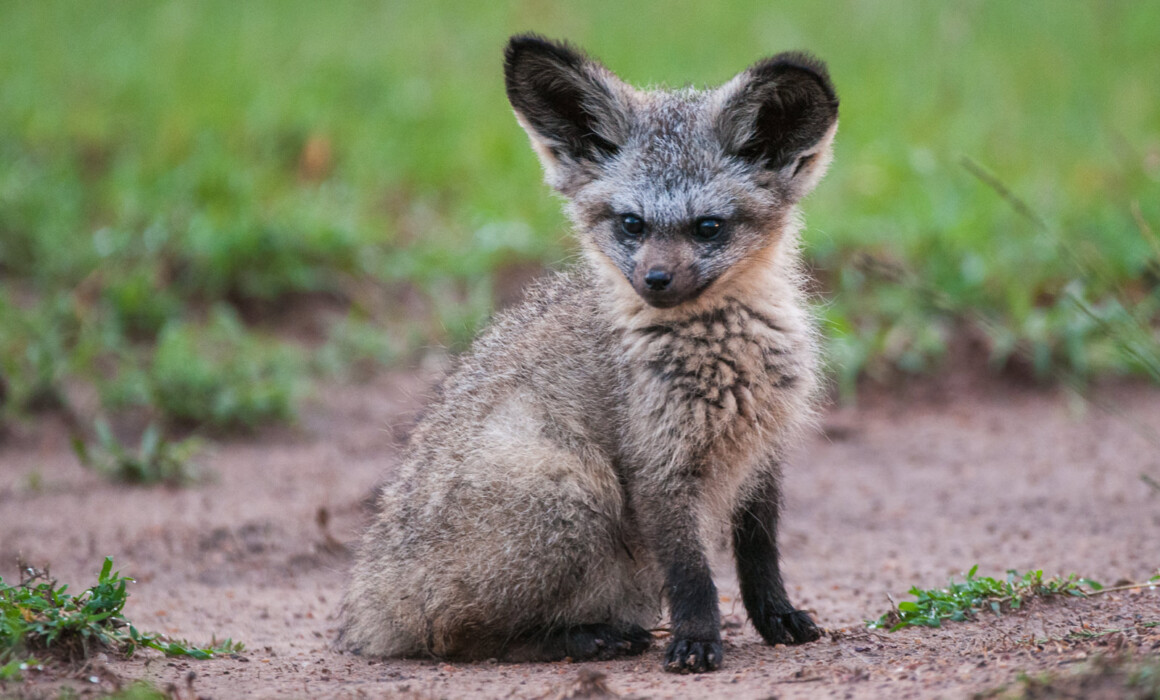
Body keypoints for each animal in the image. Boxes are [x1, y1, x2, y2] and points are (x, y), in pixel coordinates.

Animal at [339, 34, 839, 673]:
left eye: (708, 227)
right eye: (631, 224)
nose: (654, 281)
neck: (727, 357)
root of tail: (369, 607)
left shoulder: (764, 451)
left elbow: (759, 553)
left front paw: (777, 616)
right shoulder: (656, 465)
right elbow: (692, 574)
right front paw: (697, 640)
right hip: (574, 487)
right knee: (455, 637)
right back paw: (587, 638)